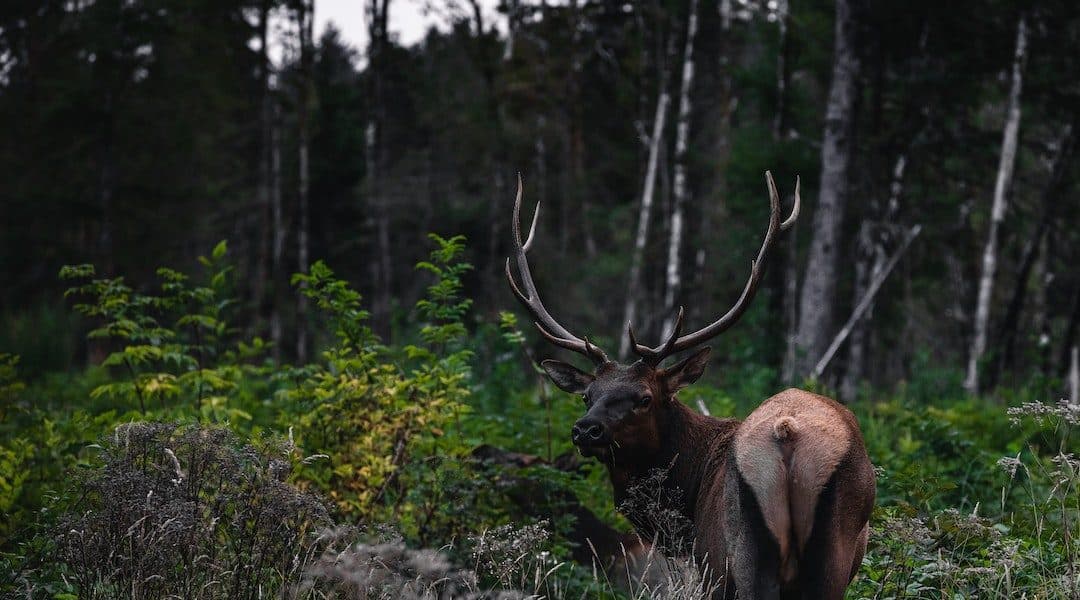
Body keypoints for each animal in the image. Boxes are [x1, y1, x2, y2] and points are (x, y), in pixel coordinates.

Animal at [505, 172, 875, 600]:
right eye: (587, 396)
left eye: (645, 398)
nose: (586, 430)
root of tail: (788, 433)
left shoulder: (709, 566)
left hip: (743, 553)